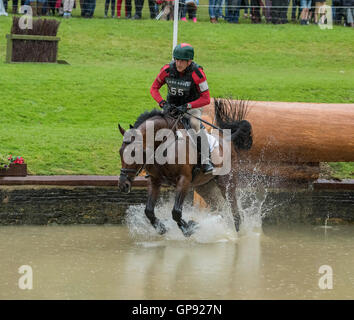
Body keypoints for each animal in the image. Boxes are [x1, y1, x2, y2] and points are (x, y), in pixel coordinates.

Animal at [117, 99, 253, 236]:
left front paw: (190, 227)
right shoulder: (154, 180)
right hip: (205, 186)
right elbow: (149, 210)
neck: (163, 144)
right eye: (120, 152)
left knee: (235, 211)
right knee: (220, 209)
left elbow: (176, 212)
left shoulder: (184, 179)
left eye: (134, 153)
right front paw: (161, 227)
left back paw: (237, 234)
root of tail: (227, 139)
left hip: (226, 183)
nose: (124, 185)